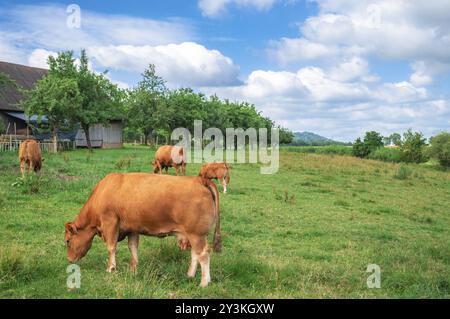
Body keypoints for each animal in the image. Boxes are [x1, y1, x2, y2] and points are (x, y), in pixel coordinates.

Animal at [63, 174, 221, 288]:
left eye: (68, 241)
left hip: (196, 234)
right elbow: (133, 247)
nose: (69, 259)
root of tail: (200, 179)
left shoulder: (110, 222)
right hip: (193, 234)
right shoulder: (133, 228)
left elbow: (111, 247)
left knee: (203, 255)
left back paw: (204, 283)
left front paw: (111, 268)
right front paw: (133, 270)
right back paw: (190, 275)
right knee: (195, 254)